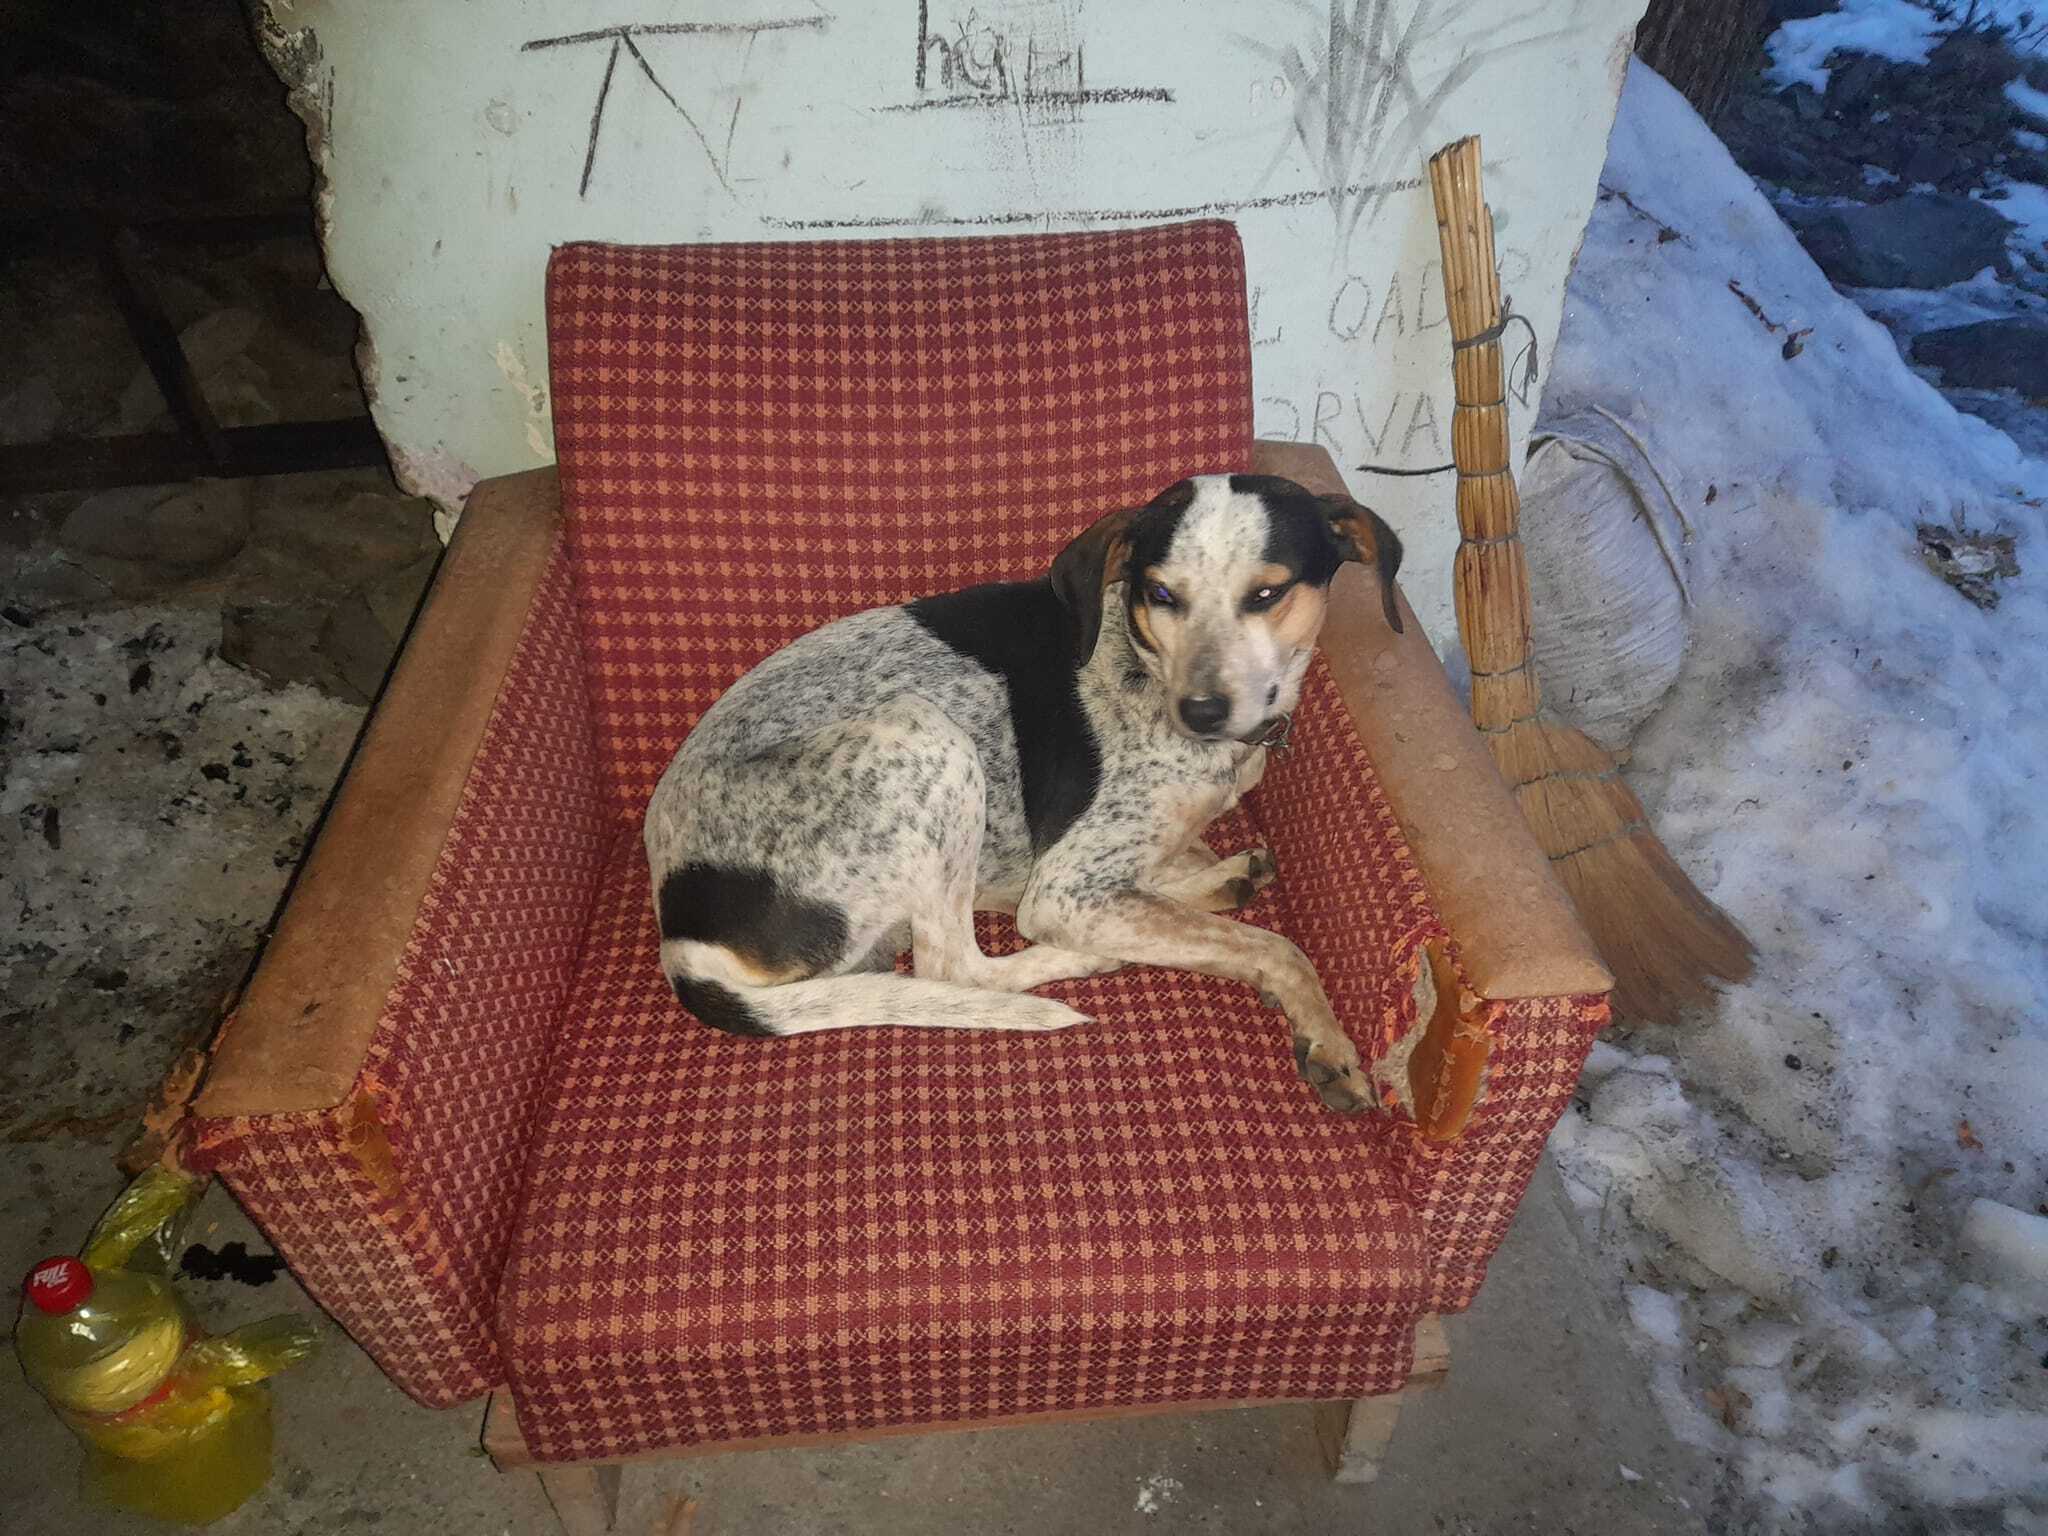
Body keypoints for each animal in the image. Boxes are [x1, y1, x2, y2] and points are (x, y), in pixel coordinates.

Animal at [644, 473, 1404, 1112]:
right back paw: (1090, 953)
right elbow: (1275, 948)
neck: (1142, 665)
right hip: (927, 736)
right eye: (1162, 595)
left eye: (1266, 595)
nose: (1201, 713)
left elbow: (1186, 870)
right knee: (954, 967)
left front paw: (1213, 878)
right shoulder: (1066, 885)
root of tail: (680, 933)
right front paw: (1326, 1036)